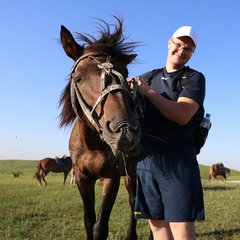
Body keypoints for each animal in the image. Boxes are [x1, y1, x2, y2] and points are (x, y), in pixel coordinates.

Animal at [58, 15, 141, 239]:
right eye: (79, 78)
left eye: (126, 74)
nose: (125, 130)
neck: (92, 145)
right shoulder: (82, 177)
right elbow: (89, 221)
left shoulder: (110, 177)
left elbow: (100, 227)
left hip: (132, 171)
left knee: (134, 201)